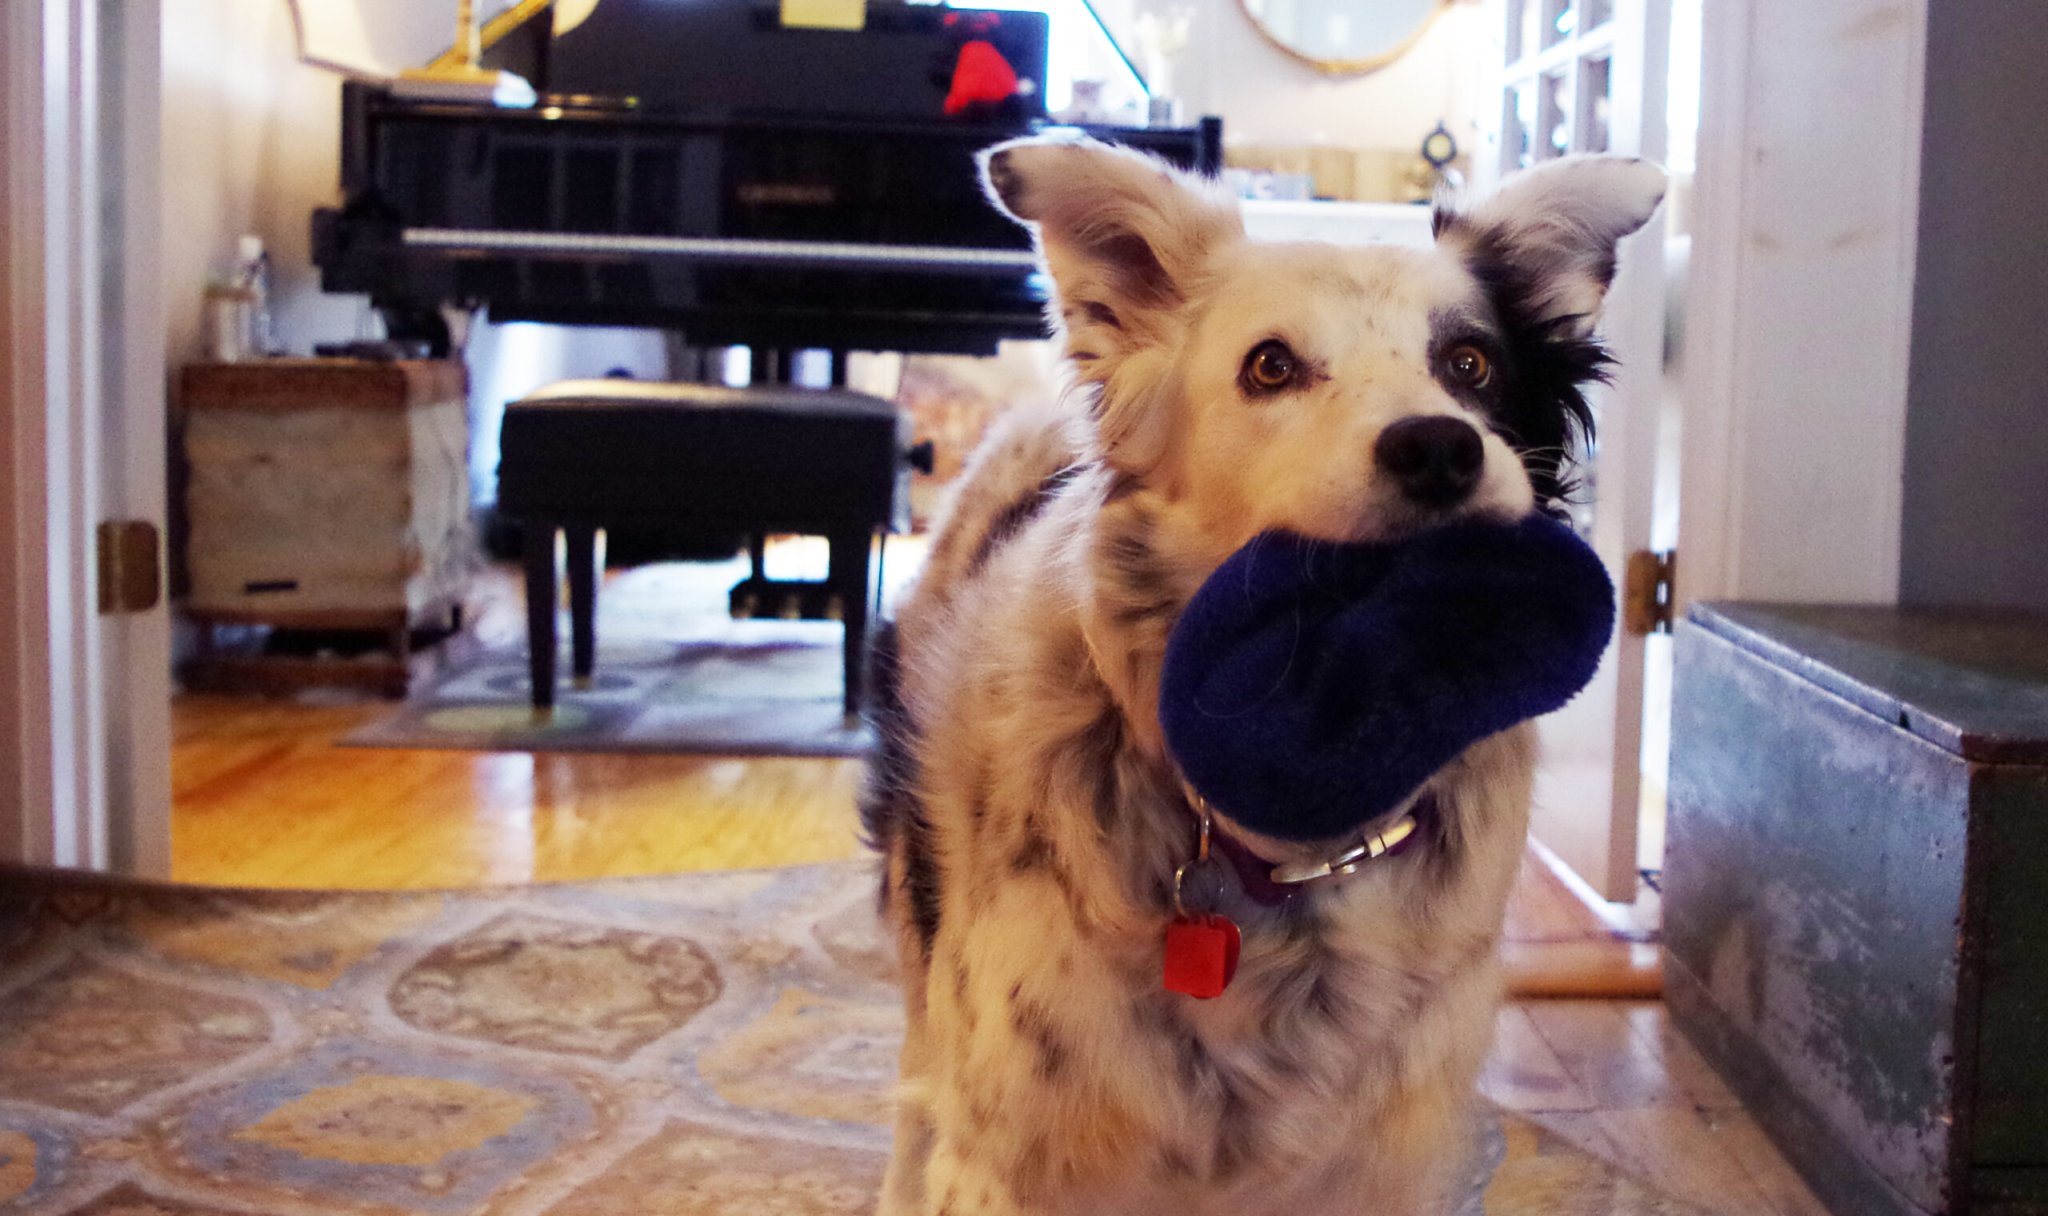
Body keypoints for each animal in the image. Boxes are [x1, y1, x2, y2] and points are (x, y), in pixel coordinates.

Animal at [861, 136, 1664, 1216]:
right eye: (1270, 366)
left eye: (1470, 364)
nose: (1438, 448)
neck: (1292, 844)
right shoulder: (1001, 1151)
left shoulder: (1382, 1157)